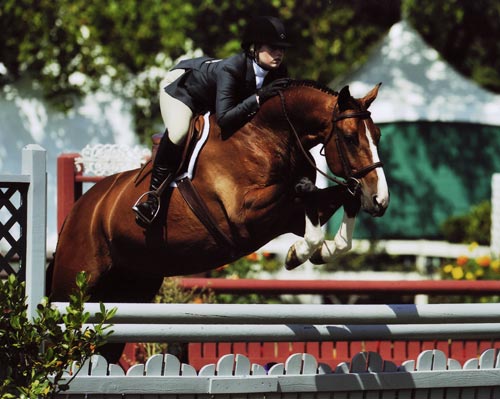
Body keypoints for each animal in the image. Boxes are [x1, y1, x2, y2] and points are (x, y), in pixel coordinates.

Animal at [48, 81, 388, 362]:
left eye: (378, 136)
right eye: (350, 138)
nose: (380, 200)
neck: (268, 137)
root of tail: (80, 208)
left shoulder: (287, 217)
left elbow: (335, 200)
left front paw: (320, 250)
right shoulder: (245, 216)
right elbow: (304, 194)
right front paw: (299, 254)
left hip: (130, 290)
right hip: (75, 284)